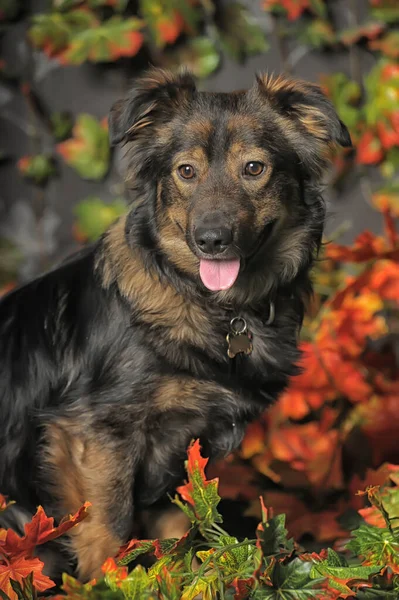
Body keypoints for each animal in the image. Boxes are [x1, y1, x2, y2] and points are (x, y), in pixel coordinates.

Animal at [0, 68, 350, 580]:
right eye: (186, 172)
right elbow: (108, 529)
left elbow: (178, 537)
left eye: (254, 168)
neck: (218, 307)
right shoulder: (92, 434)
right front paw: (110, 583)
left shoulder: (188, 448)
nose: (212, 240)